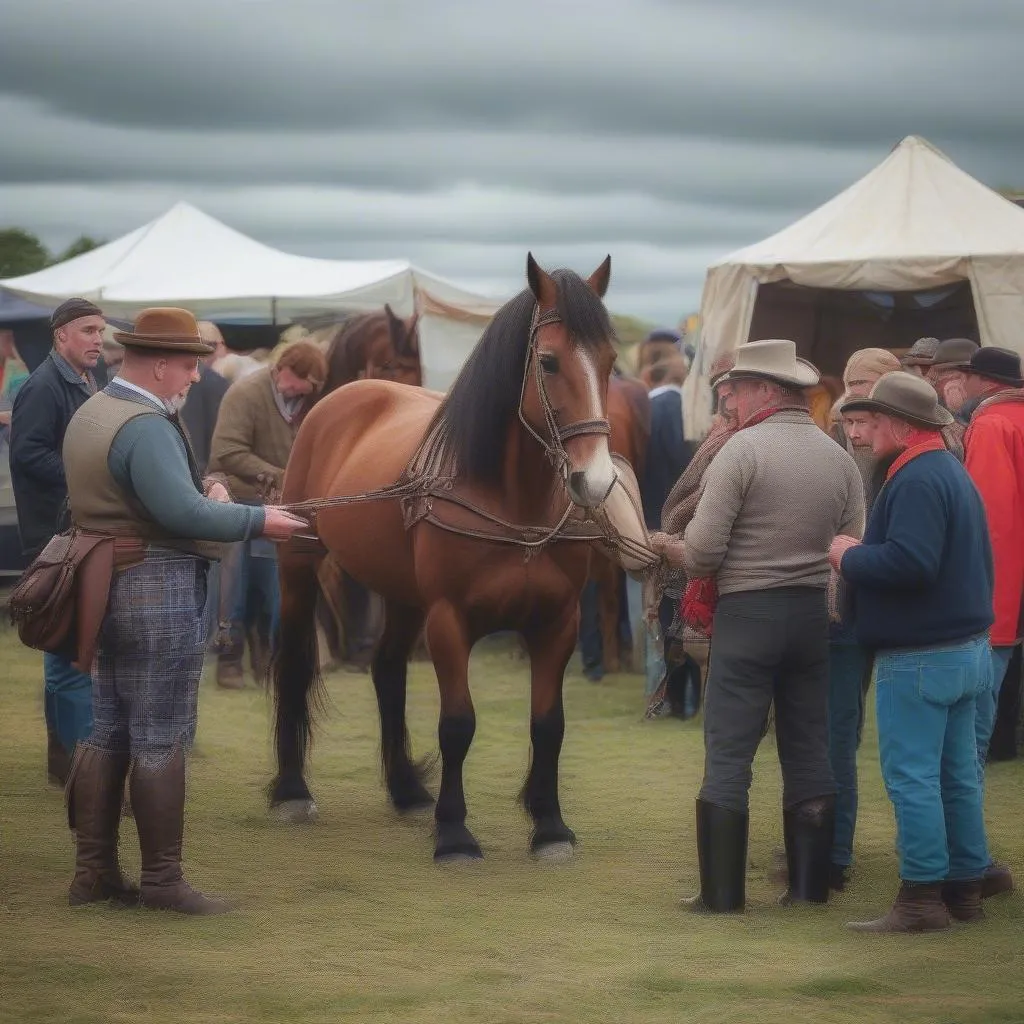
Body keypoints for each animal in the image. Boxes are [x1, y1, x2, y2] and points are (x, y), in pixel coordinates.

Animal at [268, 251, 643, 860]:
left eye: (611, 361)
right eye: (548, 361)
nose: (595, 481)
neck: (512, 500)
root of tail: (339, 400)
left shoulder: (557, 621)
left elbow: (549, 724)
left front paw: (549, 825)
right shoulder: (449, 619)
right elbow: (458, 725)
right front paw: (454, 833)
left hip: (402, 594)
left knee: (388, 669)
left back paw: (405, 789)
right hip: (300, 569)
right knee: (298, 667)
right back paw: (292, 791)